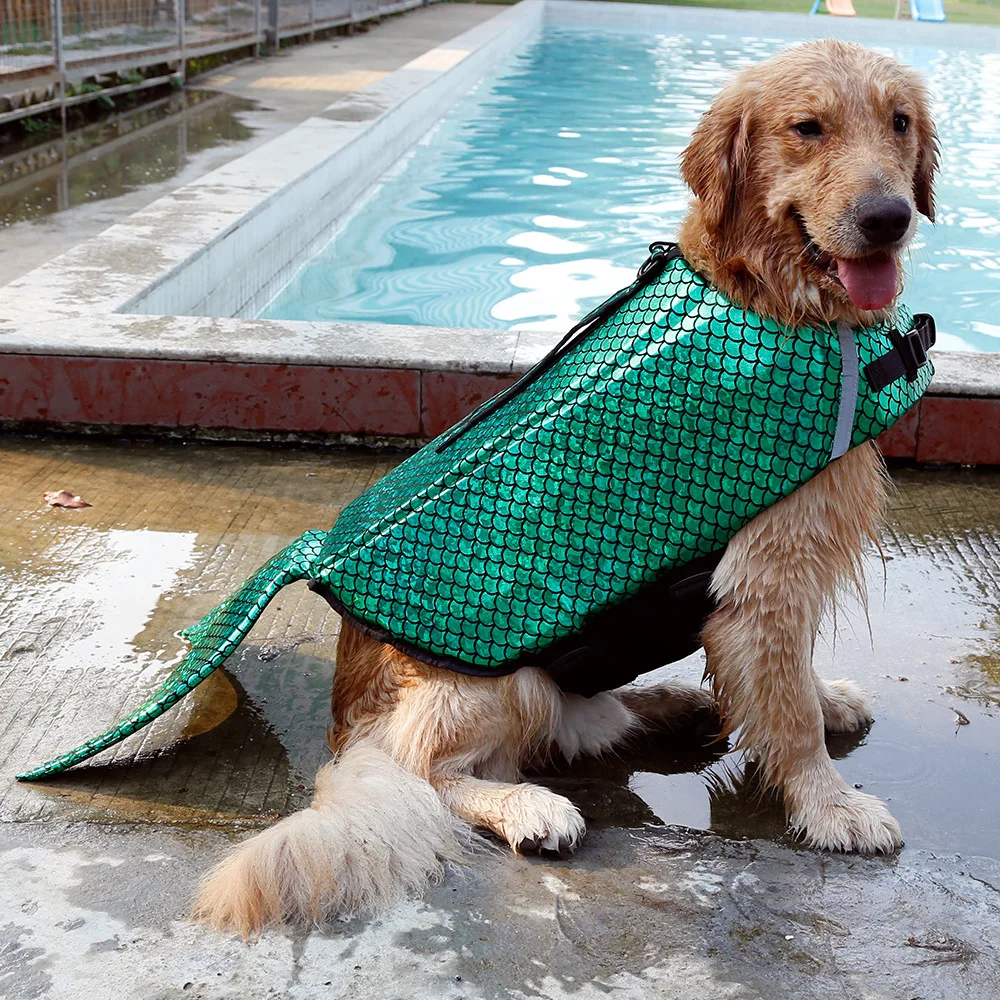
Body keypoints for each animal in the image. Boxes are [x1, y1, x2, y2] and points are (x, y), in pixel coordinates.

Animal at [193, 35, 936, 932]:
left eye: (899, 122)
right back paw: (530, 806)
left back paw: (671, 703)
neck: (764, 292)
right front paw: (831, 805)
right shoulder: (767, 574)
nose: (888, 216)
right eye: (807, 128)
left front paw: (824, 701)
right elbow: (787, 713)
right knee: (428, 771)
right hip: (492, 688)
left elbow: (789, 677)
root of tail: (345, 723)